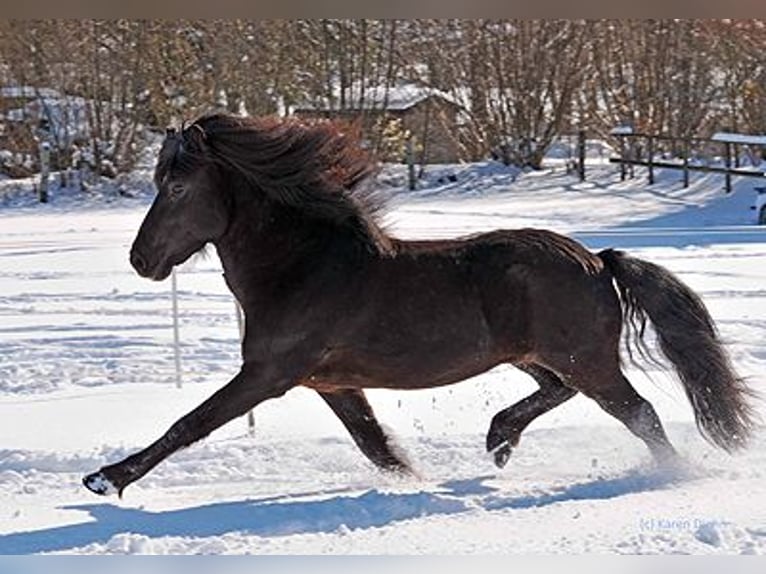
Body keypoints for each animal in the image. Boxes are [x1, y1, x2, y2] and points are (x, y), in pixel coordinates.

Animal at [82, 113, 756, 500]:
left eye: (176, 186)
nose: (141, 259)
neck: (302, 267)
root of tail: (597, 258)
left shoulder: (268, 375)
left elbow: (190, 423)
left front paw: (105, 479)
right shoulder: (330, 383)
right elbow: (374, 444)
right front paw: (417, 482)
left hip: (584, 358)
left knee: (639, 413)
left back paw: (671, 478)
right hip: (538, 355)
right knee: (557, 392)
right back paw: (499, 439)